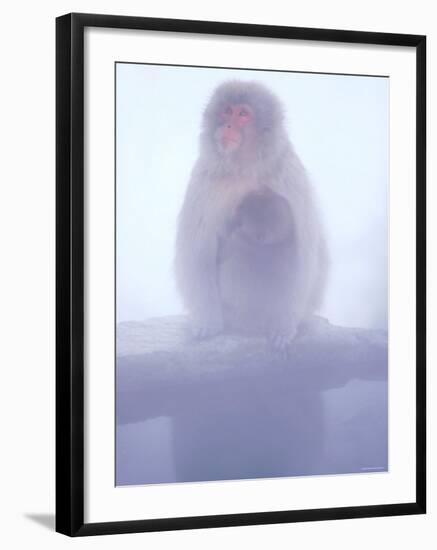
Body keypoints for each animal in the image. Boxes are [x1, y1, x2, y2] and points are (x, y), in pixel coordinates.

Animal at [174, 81, 328, 350]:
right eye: (227, 111)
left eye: (243, 114)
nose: (227, 125)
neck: (244, 167)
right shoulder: (204, 178)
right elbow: (197, 253)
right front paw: (207, 322)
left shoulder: (290, 176)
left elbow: (305, 256)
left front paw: (283, 328)